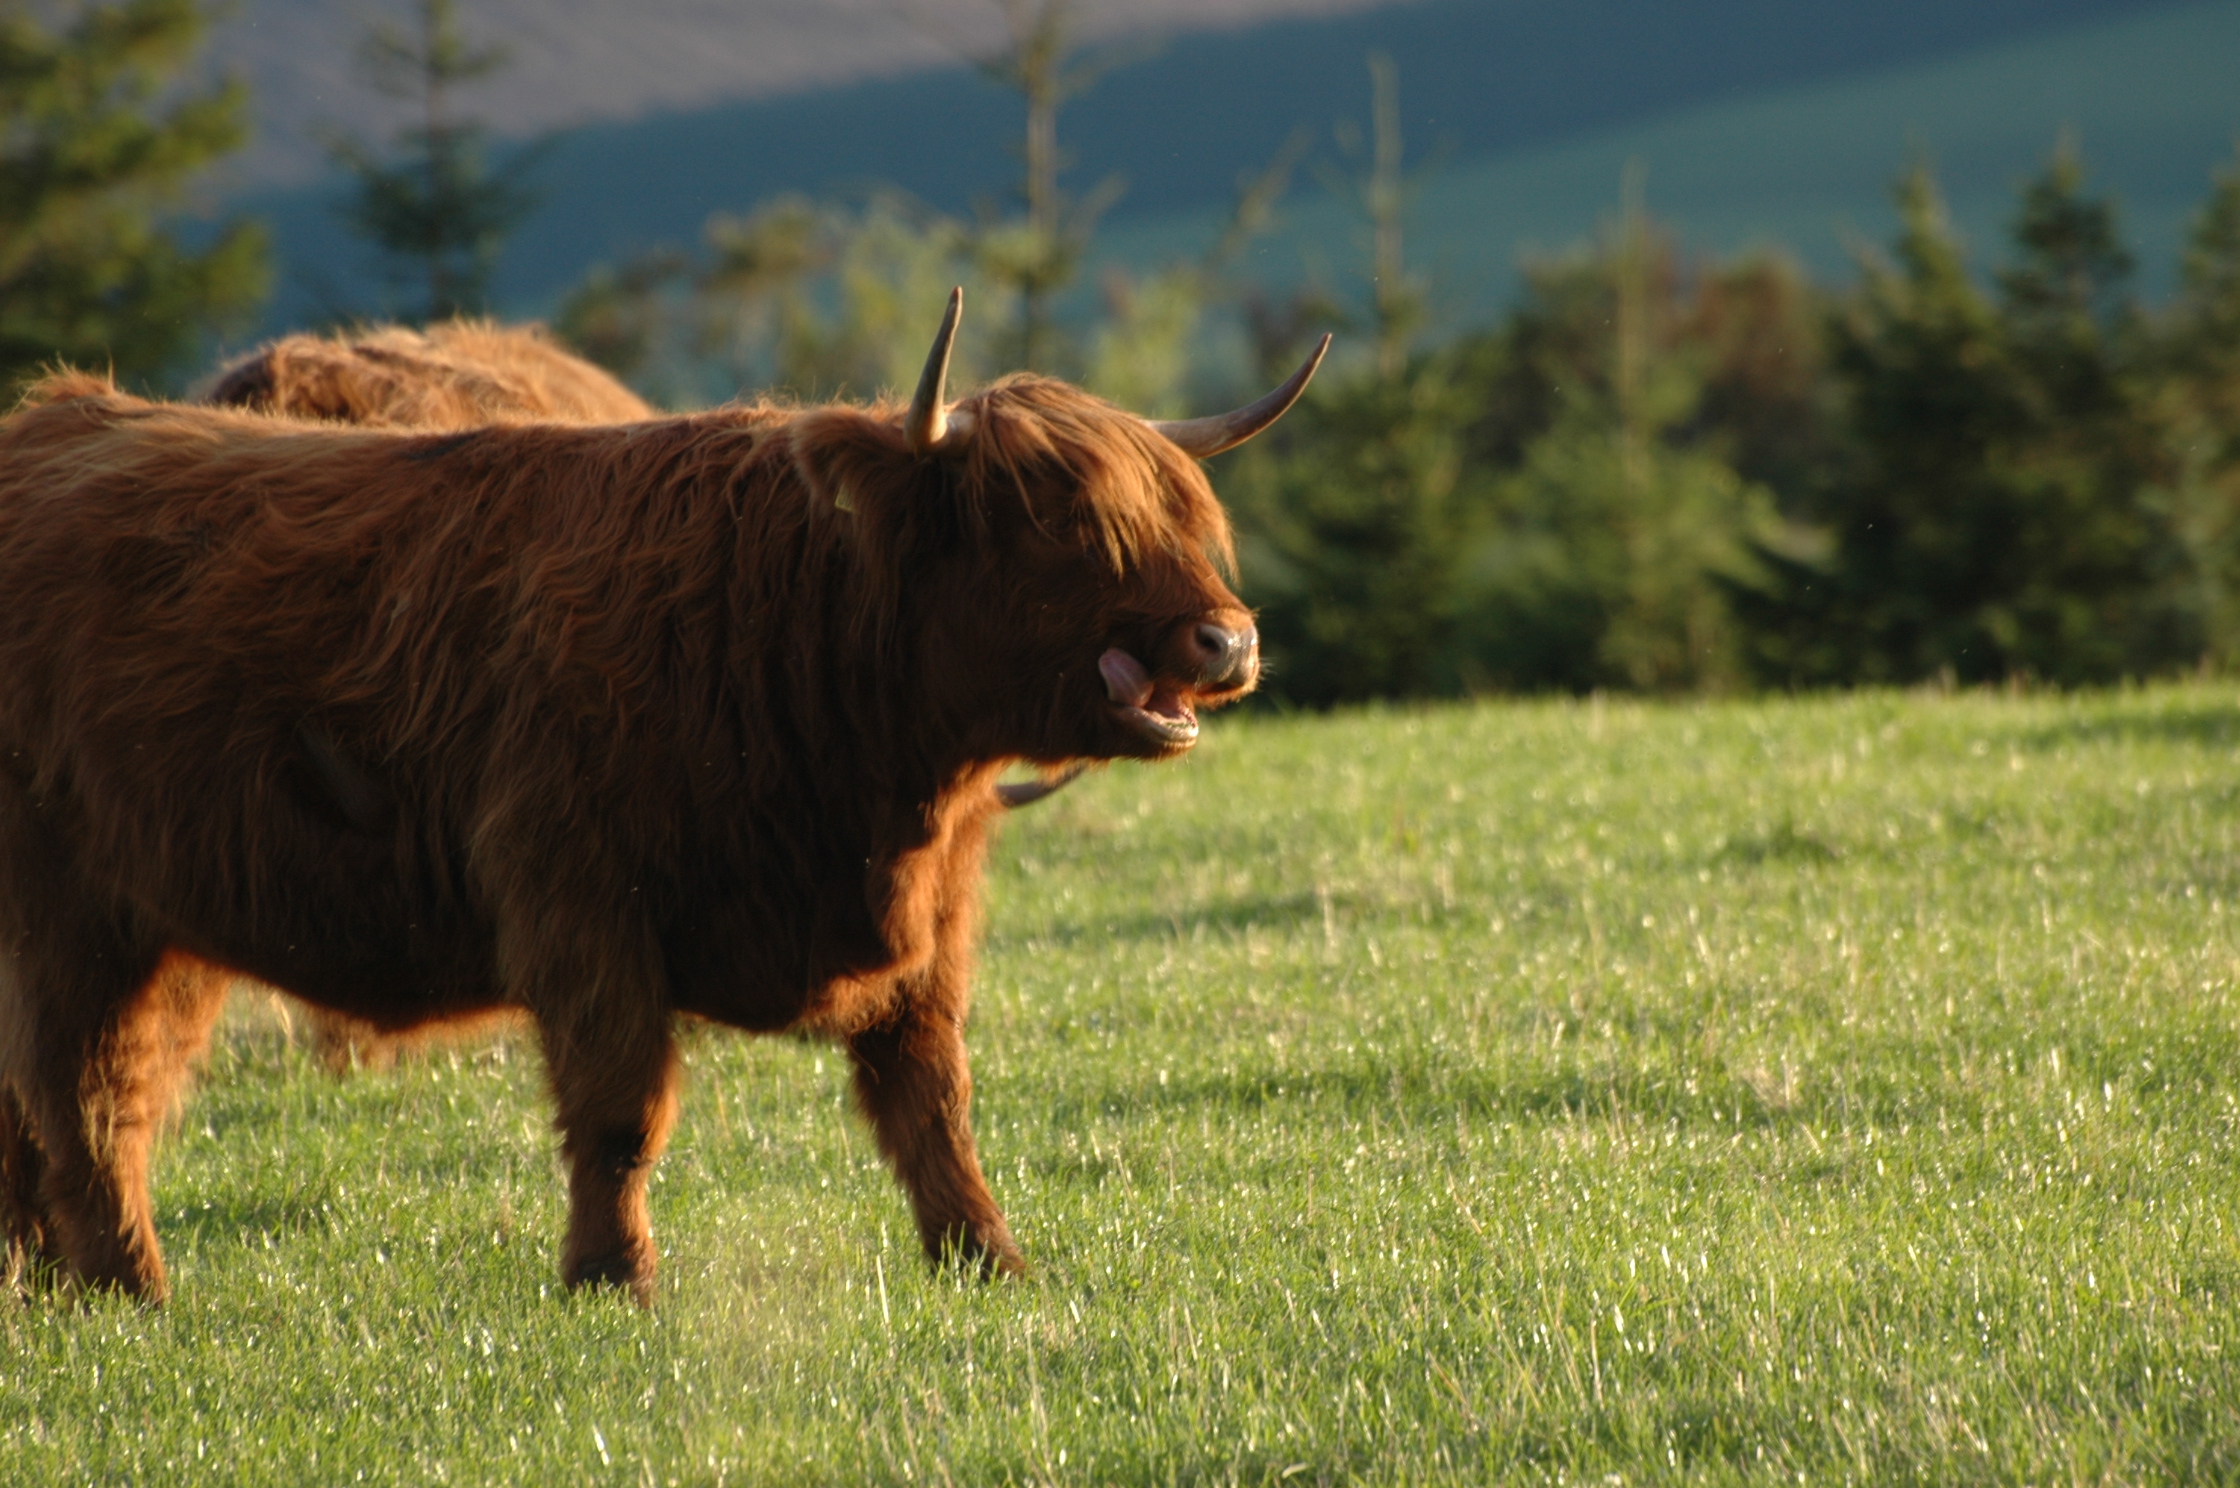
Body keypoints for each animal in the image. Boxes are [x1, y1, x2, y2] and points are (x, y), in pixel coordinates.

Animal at [0, 290, 1326, 1304]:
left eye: (1183, 514)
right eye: (1057, 522)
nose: (1226, 642)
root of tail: (56, 420)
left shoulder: (931, 930)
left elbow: (931, 1103)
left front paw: (988, 1260)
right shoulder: (581, 907)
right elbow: (620, 1116)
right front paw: (612, 1280)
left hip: (158, 927)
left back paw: (43, 1282)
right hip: (72, 921)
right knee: (86, 1093)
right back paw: (131, 1287)